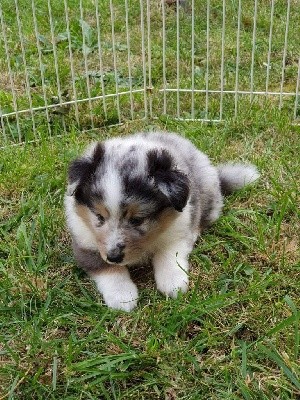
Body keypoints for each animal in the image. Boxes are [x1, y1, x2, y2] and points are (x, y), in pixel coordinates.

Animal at [64, 133, 258, 310]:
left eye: (137, 220)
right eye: (99, 216)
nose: (114, 257)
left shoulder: (178, 230)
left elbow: (169, 254)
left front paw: (173, 284)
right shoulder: (85, 242)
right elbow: (105, 268)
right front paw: (122, 297)